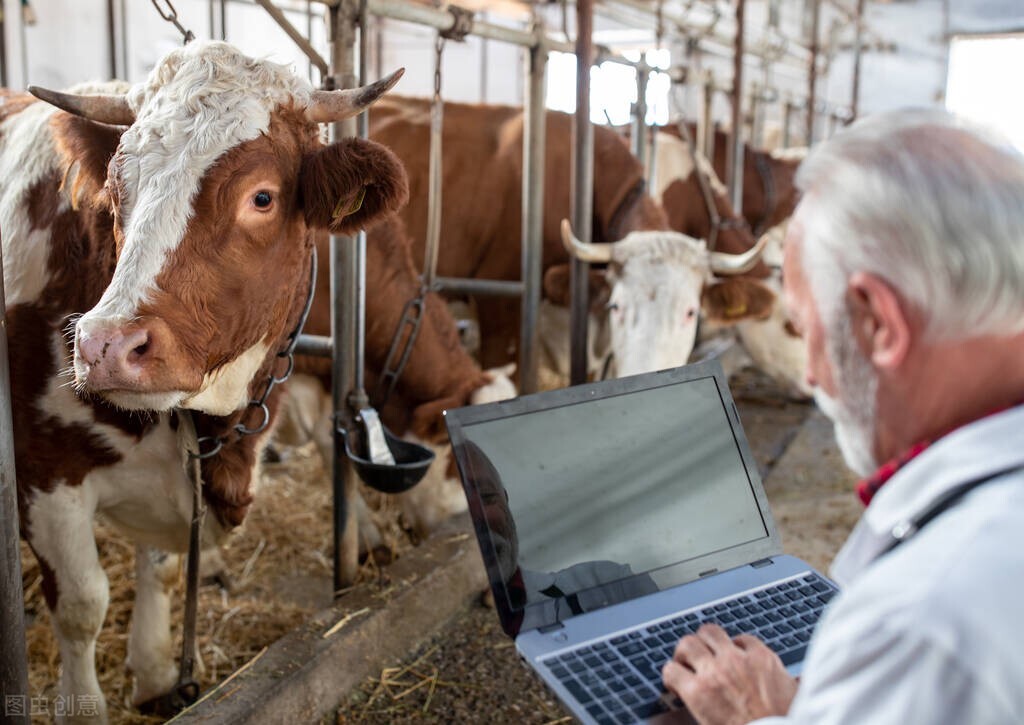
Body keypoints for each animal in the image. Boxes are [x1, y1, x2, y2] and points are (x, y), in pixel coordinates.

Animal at [6, 42, 407, 720]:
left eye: (263, 198)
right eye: (116, 191)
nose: (105, 346)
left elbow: (163, 571)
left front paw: (155, 673)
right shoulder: (44, 473)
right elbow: (84, 605)